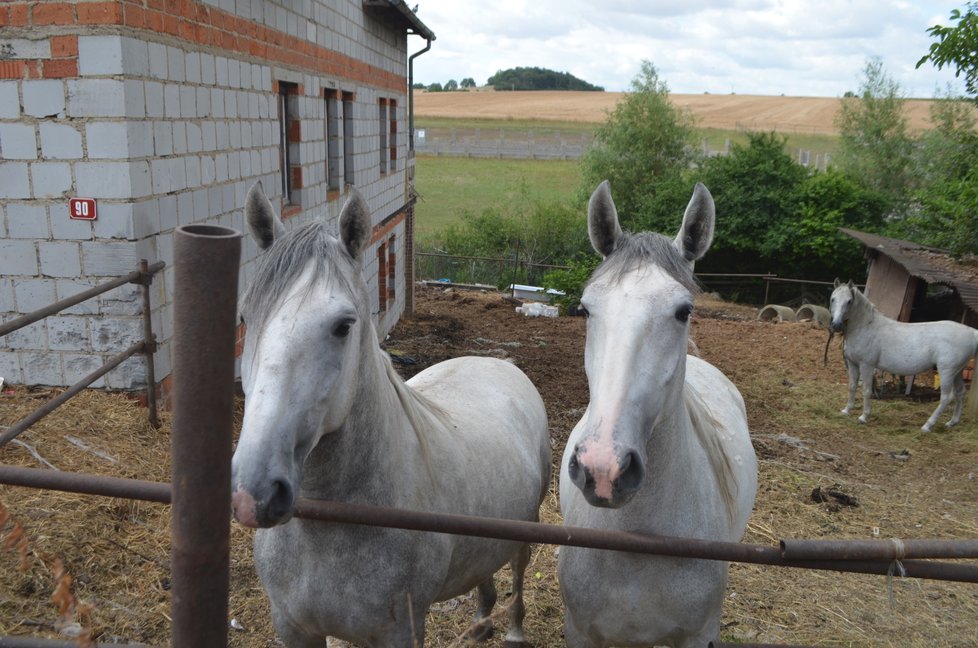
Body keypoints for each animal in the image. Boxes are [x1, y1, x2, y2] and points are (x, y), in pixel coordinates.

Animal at [227, 182, 548, 648]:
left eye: (344, 325)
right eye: (245, 316)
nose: (253, 493)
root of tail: (497, 363)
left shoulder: (401, 631)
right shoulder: (292, 627)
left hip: (529, 525)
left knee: (520, 568)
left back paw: (514, 630)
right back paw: (480, 622)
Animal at [828, 278, 976, 430]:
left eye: (849, 301)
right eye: (833, 298)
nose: (836, 325)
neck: (865, 326)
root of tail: (972, 332)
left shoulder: (866, 365)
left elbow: (866, 390)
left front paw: (864, 417)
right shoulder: (852, 363)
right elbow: (852, 386)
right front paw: (846, 410)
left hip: (946, 372)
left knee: (946, 397)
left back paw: (927, 426)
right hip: (957, 372)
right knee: (960, 393)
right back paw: (952, 422)